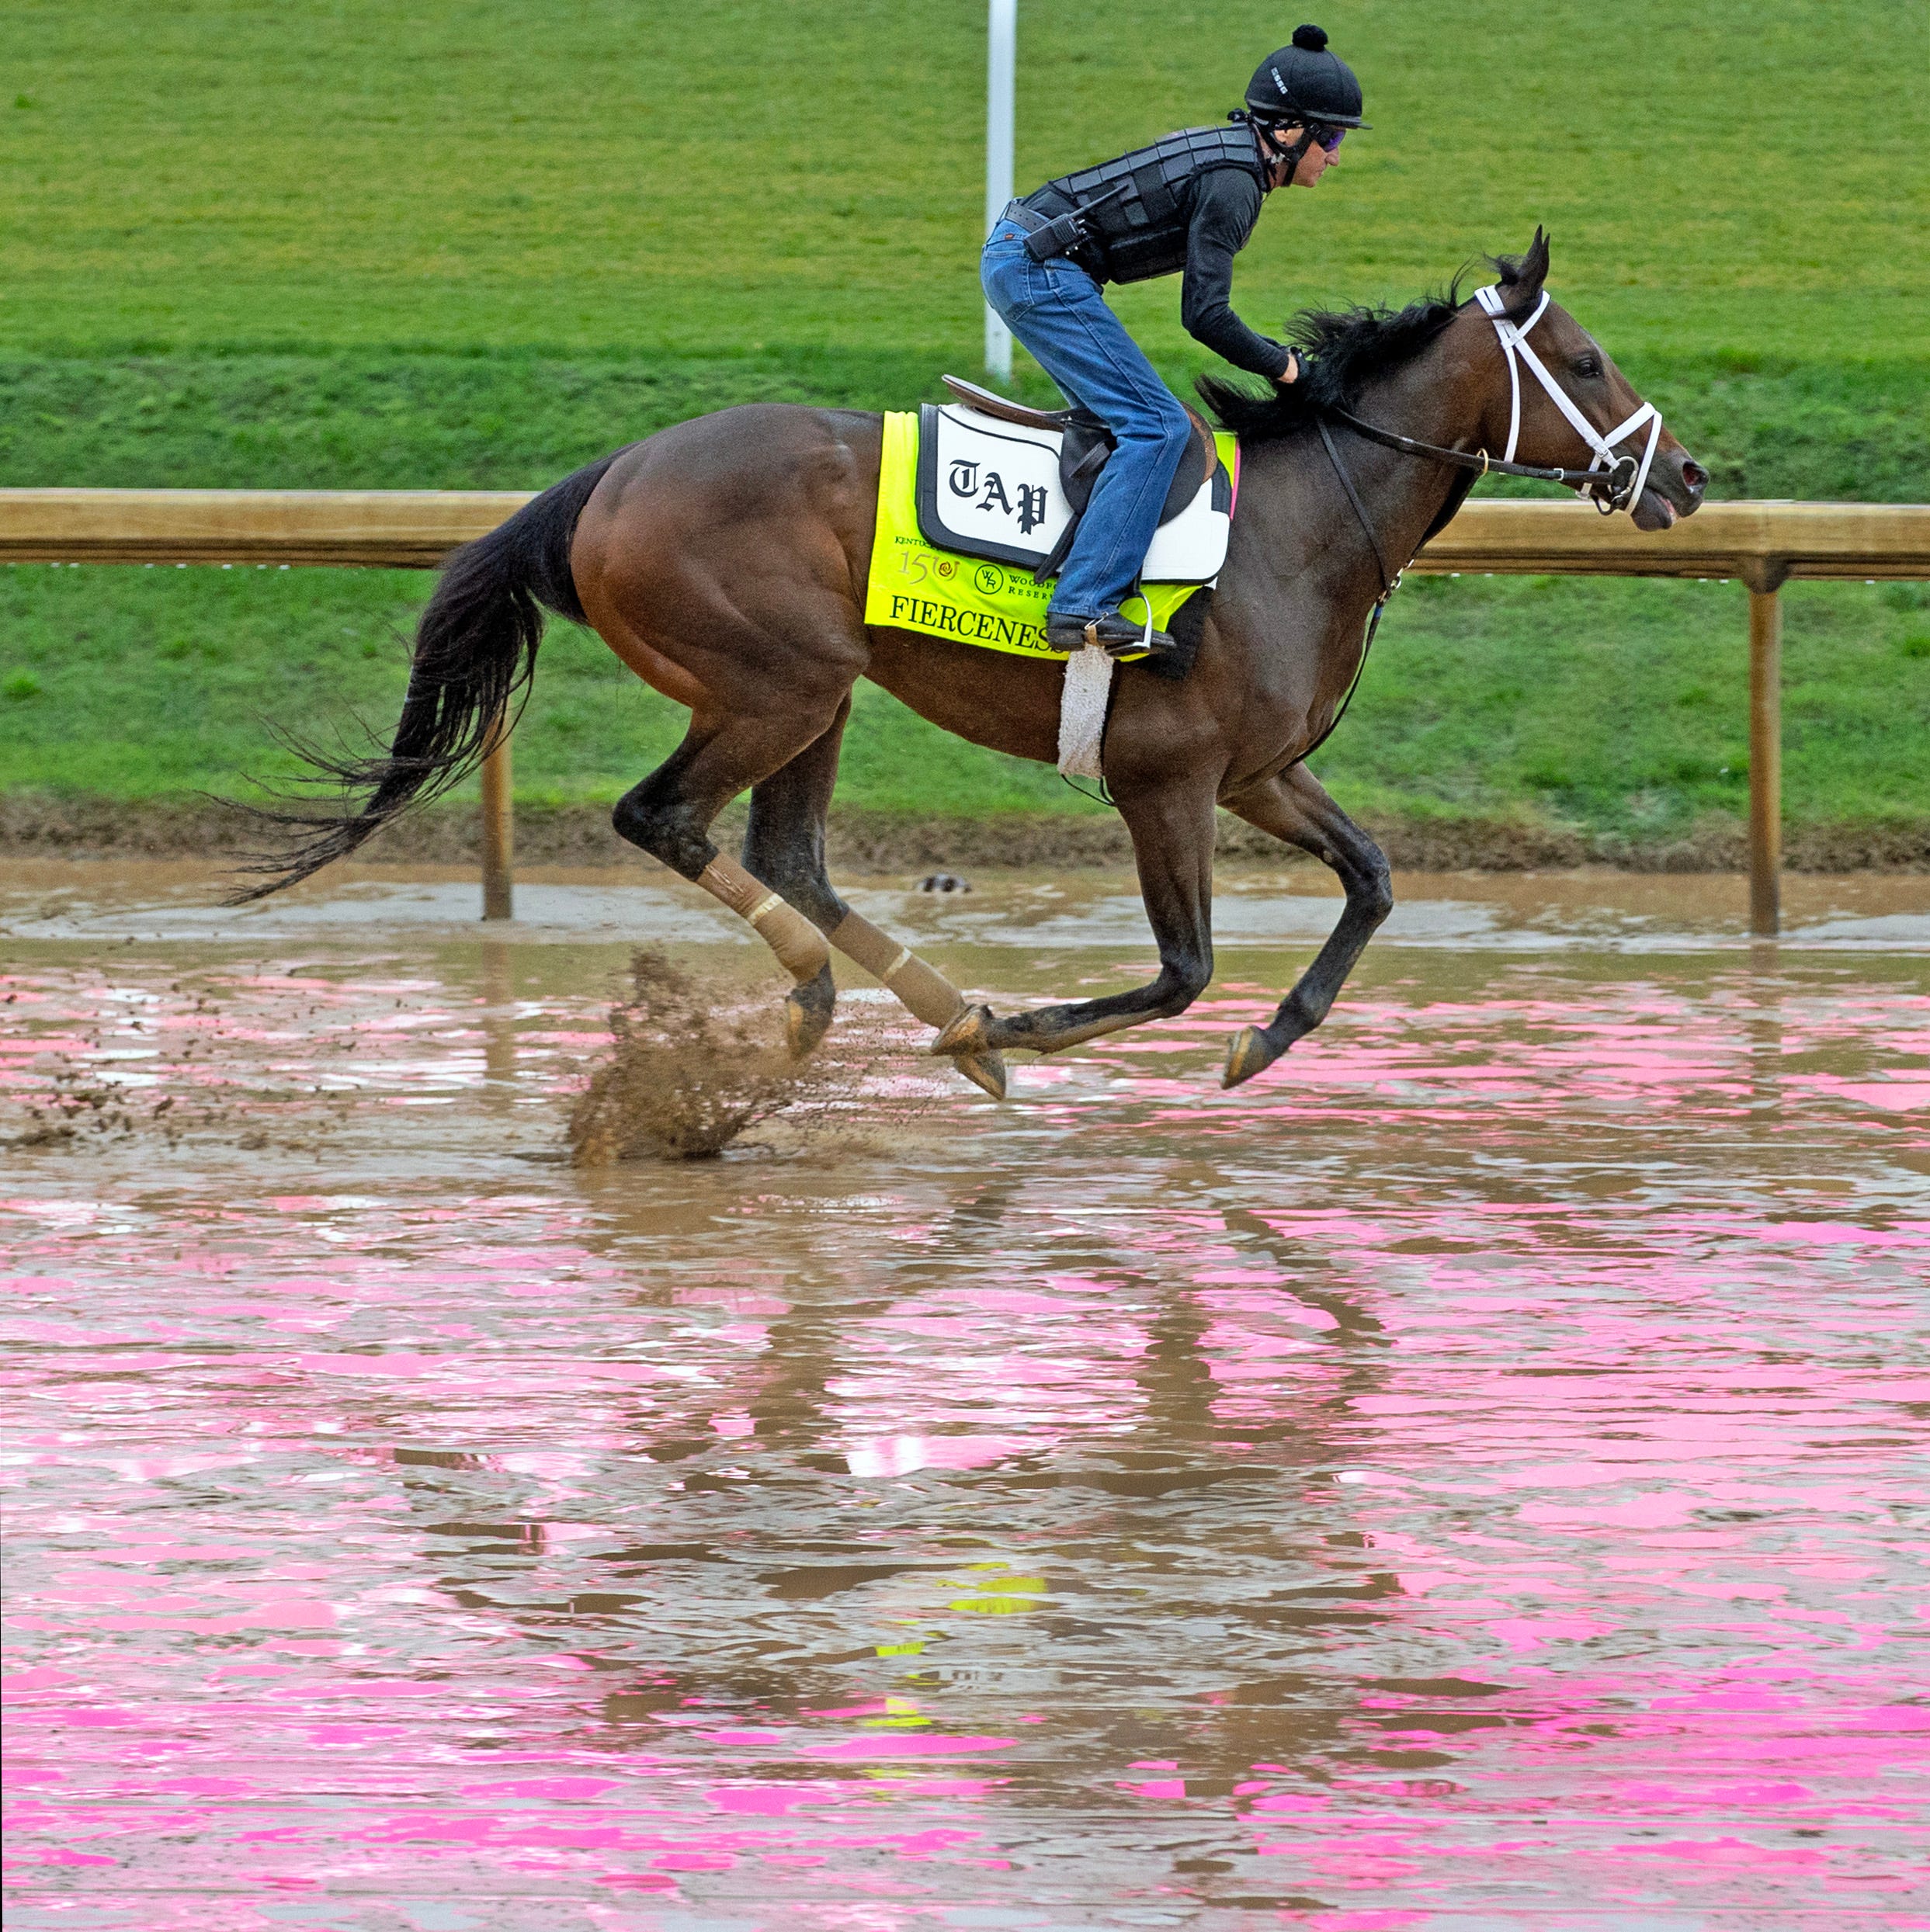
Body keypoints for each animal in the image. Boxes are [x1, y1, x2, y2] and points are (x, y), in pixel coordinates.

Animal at [241, 234, 1707, 1097]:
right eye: (1584, 359)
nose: (1684, 475)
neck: (1298, 525)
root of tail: (607, 476)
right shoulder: (1164, 780)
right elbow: (1181, 970)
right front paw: (1014, 1028)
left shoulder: (1255, 774)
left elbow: (1374, 879)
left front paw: (1265, 1038)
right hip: (776, 681)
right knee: (664, 818)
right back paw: (855, 1004)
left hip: (816, 695)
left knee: (785, 854)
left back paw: (903, 1010)